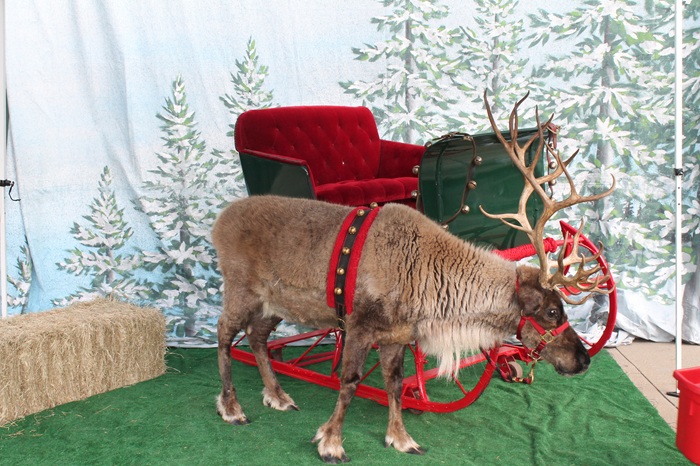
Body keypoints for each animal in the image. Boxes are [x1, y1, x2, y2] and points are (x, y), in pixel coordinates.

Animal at [212, 93, 615, 463]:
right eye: (551, 312)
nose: (583, 359)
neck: (434, 289)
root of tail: (219, 221)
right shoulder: (359, 326)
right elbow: (349, 382)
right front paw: (331, 441)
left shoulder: (397, 336)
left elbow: (393, 383)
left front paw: (400, 437)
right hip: (240, 289)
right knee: (225, 333)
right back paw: (231, 407)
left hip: (274, 303)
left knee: (256, 337)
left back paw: (277, 395)